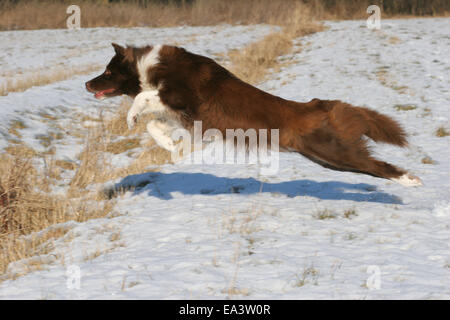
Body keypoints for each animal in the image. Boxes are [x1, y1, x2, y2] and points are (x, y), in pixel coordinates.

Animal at [86, 43, 424, 186]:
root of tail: (317, 105)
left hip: (334, 152)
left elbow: (144, 97)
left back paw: (412, 180)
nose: (86, 83)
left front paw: (131, 116)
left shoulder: (182, 97)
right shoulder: (182, 115)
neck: (152, 65)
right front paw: (171, 146)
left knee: (377, 164)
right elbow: (156, 125)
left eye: (108, 71)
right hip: (328, 159)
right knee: (372, 168)